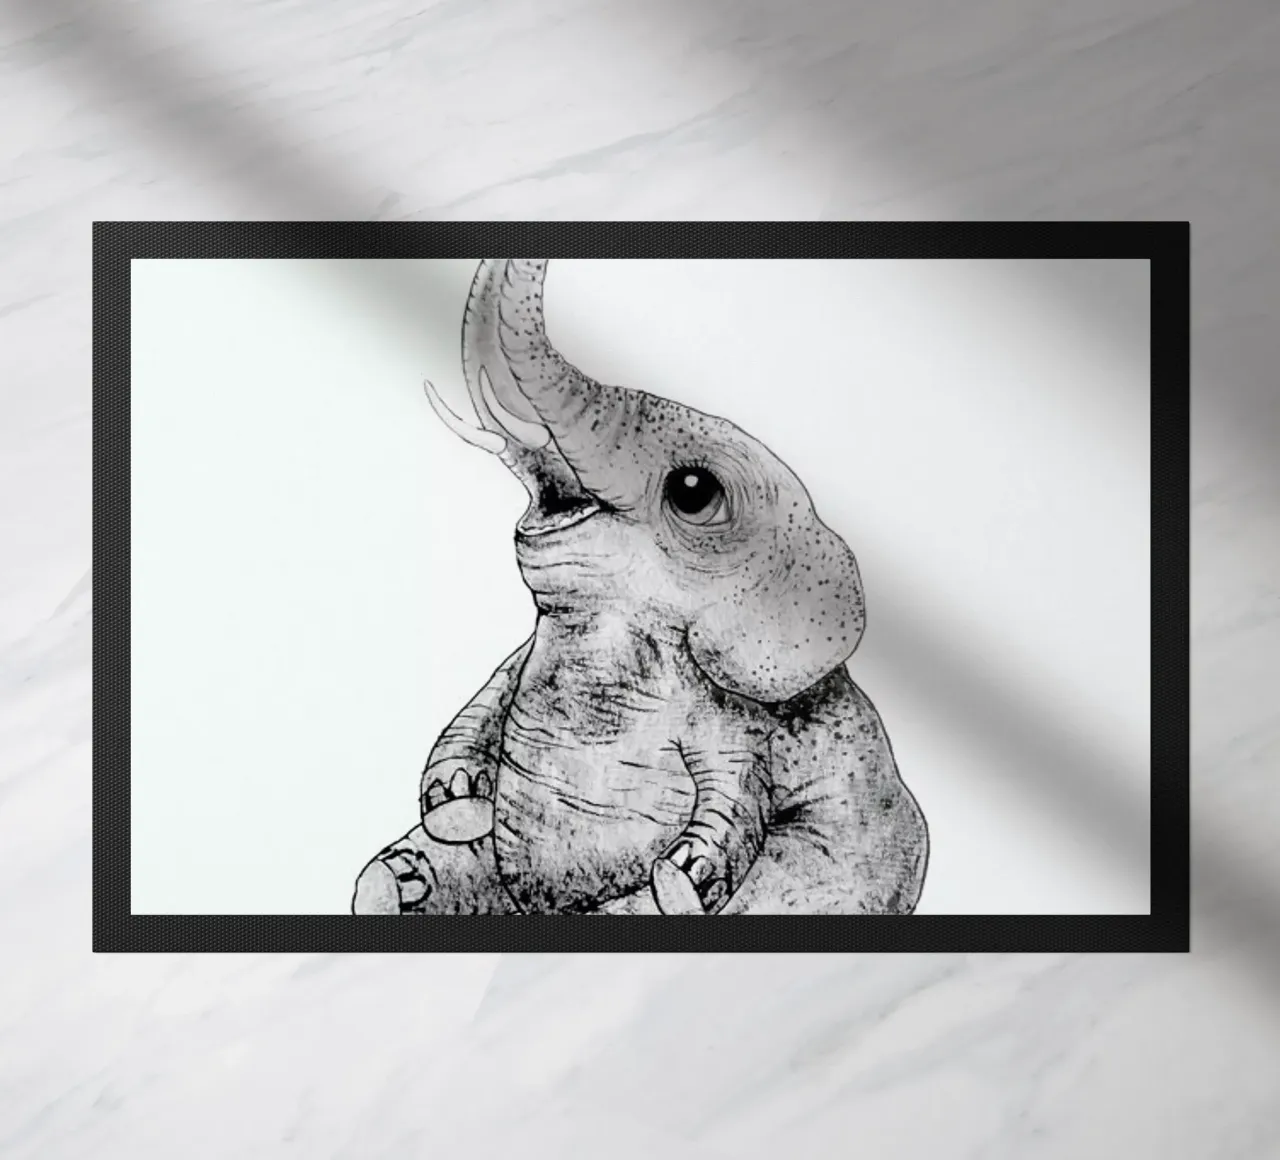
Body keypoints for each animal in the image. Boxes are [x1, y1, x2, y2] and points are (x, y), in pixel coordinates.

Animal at [352, 258, 928, 916]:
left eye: (693, 491)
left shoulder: (739, 717)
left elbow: (733, 794)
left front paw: (683, 876)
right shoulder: (519, 662)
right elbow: (475, 716)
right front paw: (456, 798)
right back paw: (400, 879)